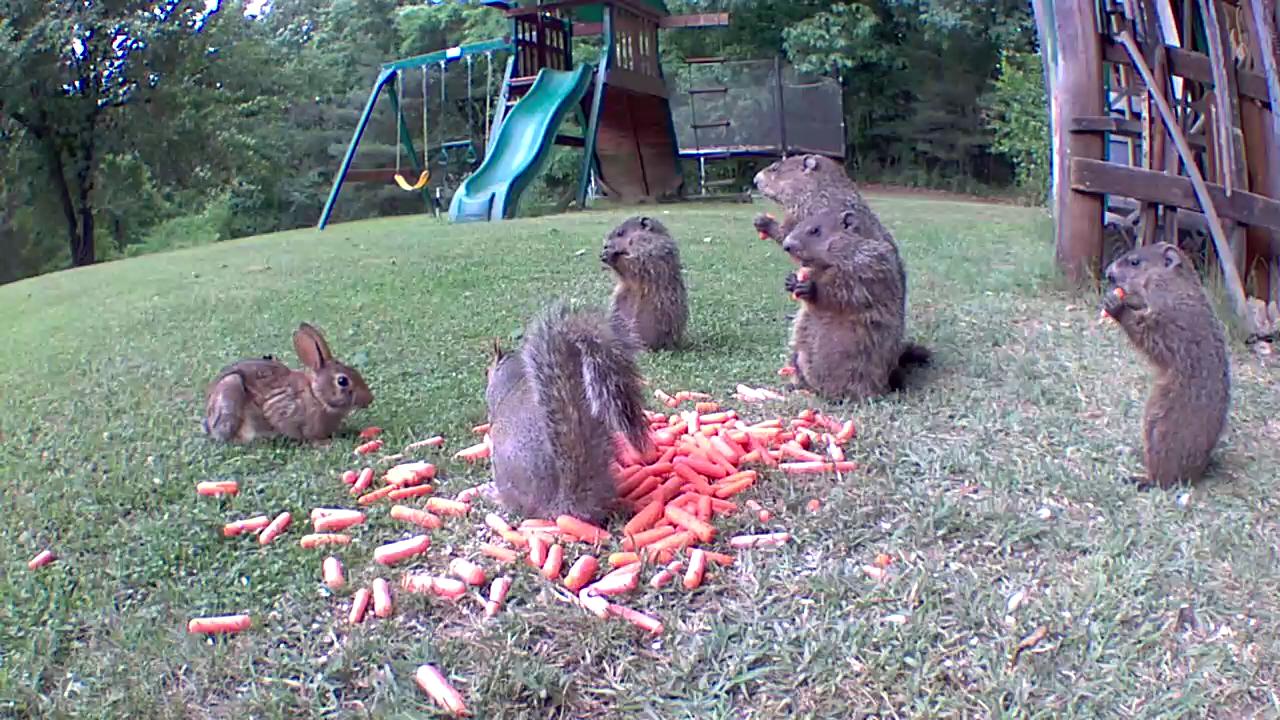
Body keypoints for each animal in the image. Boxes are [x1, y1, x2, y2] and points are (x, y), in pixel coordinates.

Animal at [782, 208, 930, 400]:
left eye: (815, 230)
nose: (785, 245)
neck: (827, 266)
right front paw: (791, 281)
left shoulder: (869, 263)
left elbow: (849, 288)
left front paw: (811, 287)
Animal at [1102, 242, 1230, 489]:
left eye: (1135, 262)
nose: (1107, 274)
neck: (1172, 286)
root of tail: (1198, 472)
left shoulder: (1171, 317)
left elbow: (1152, 336)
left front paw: (1117, 306)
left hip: (1161, 425)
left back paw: (1142, 479)